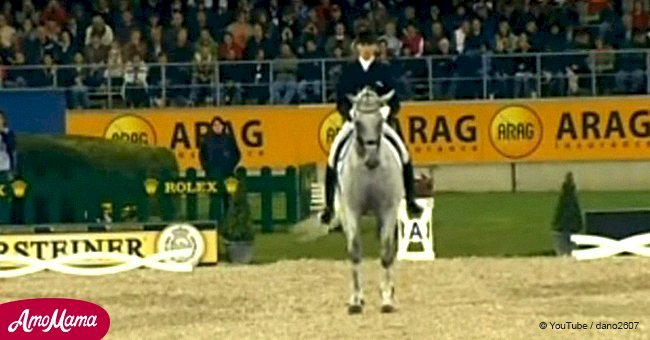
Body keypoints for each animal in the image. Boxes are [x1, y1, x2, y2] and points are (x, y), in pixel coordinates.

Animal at [332, 86, 402, 314]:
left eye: (380, 121)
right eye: (357, 123)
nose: (371, 159)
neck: (370, 171)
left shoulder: (388, 210)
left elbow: (386, 252)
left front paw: (387, 299)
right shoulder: (352, 210)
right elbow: (354, 251)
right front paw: (356, 301)